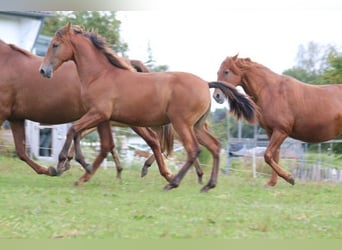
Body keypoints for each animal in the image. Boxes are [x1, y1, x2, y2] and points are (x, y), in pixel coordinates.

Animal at [0, 39, 174, 184]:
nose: (44, 71)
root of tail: (129, 64)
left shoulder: (3, 113)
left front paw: (59, 166)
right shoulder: (15, 117)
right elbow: (21, 152)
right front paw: (51, 169)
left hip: (125, 118)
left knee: (146, 140)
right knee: (127, 143)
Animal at [38, 23, 255, 191]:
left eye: (55, 45)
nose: (43, 70)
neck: (100, 75)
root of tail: (205, 83)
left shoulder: (98, 114)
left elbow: (74, 130)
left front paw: (62, 162)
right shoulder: (102, 118)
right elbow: (93, 140)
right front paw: (83, 168)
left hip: (181, 124)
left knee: (192, 149)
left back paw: (173, 182)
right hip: (196, 126)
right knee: (214, 147)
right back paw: (208, 184)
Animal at [215, 54, 342, 187]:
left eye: (226, 72)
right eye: (218, 72)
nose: (216, 96)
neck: (272, 91)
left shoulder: (281, 131)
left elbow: (267, 155)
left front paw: (289, 178)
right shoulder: (271, 132)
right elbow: (274, 156)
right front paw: (271, 183)